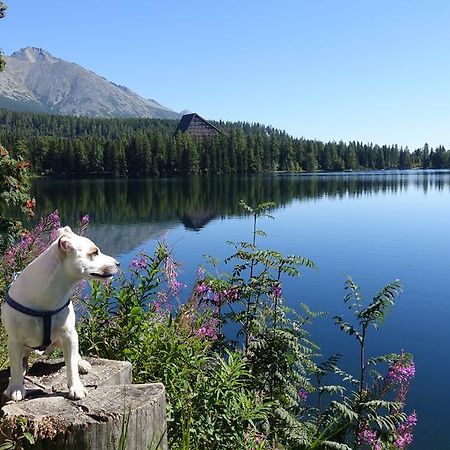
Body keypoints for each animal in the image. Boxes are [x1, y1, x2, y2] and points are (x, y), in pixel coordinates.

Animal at [1, 227, 119, 402]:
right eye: (94, 252)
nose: (118, 263)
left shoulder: (69, 335)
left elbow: (70, 365)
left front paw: (76, 388)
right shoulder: (14, 341)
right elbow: (15, 365)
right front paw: (16, 388)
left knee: (74, 356)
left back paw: (81, 363)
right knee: (22, 360)